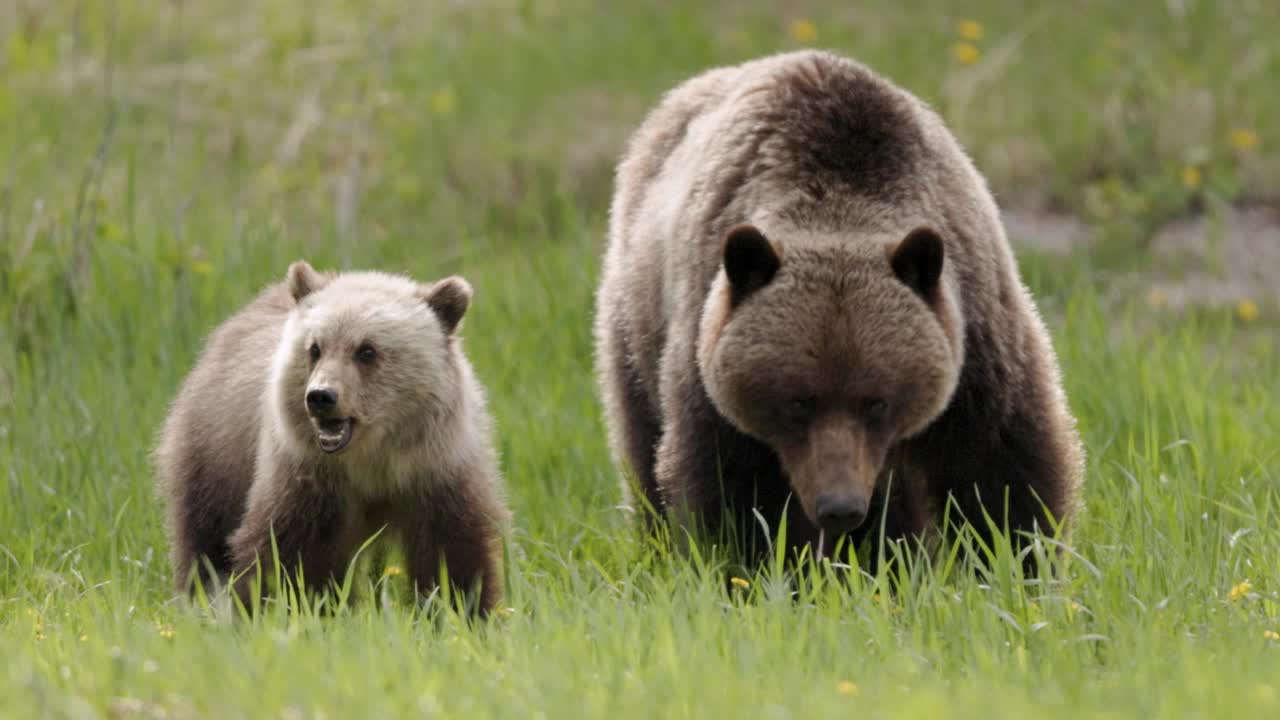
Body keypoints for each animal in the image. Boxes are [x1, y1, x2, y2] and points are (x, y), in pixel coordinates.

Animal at [593, 51, 1085, 566]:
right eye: (797, 401)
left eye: (877, 401)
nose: (841, 507)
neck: (838, 204)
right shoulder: (706, 361)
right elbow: (735, 492)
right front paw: (763, 565)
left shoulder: (977, 333)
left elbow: (1002, 465)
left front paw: (1015, 561)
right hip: (636, 320)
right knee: (642, 444)